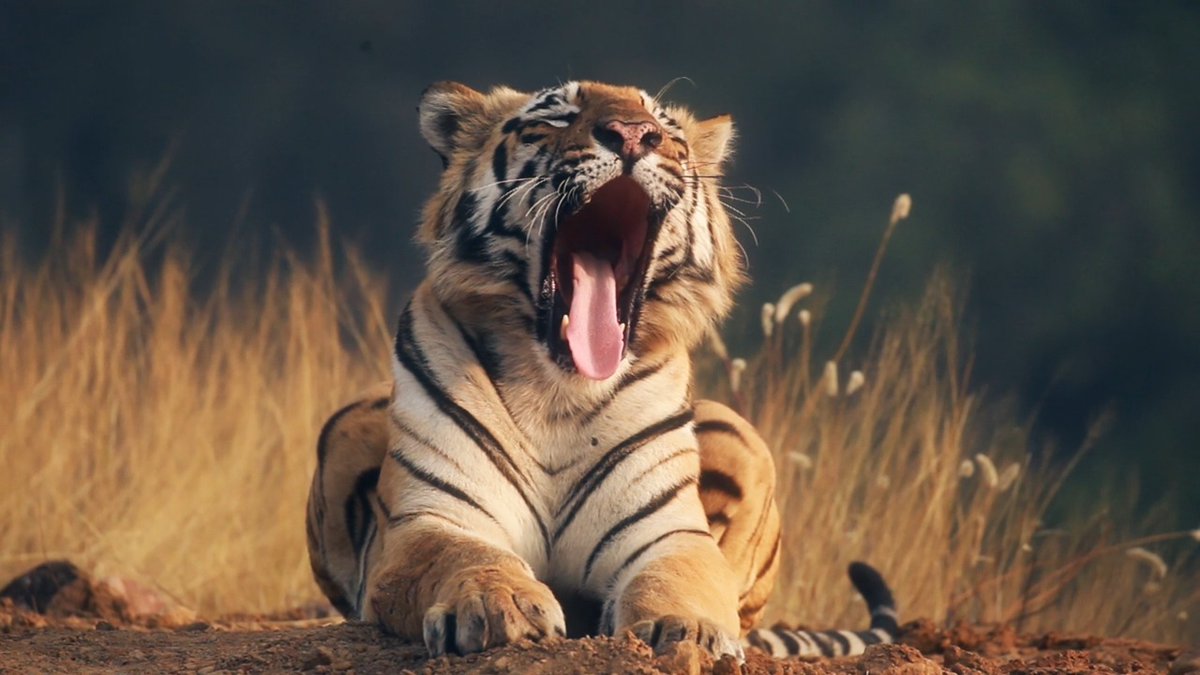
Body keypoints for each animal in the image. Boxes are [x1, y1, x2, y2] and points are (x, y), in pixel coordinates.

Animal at [306, 81, 899, 660]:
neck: (557, 391)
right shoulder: (431, 517)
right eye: (558, 115)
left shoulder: (669, 533)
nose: (635, 135)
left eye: (666, 129)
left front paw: (688, 631)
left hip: (739, 434)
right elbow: (462, 557)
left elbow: (678, 580)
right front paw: (500, 606)